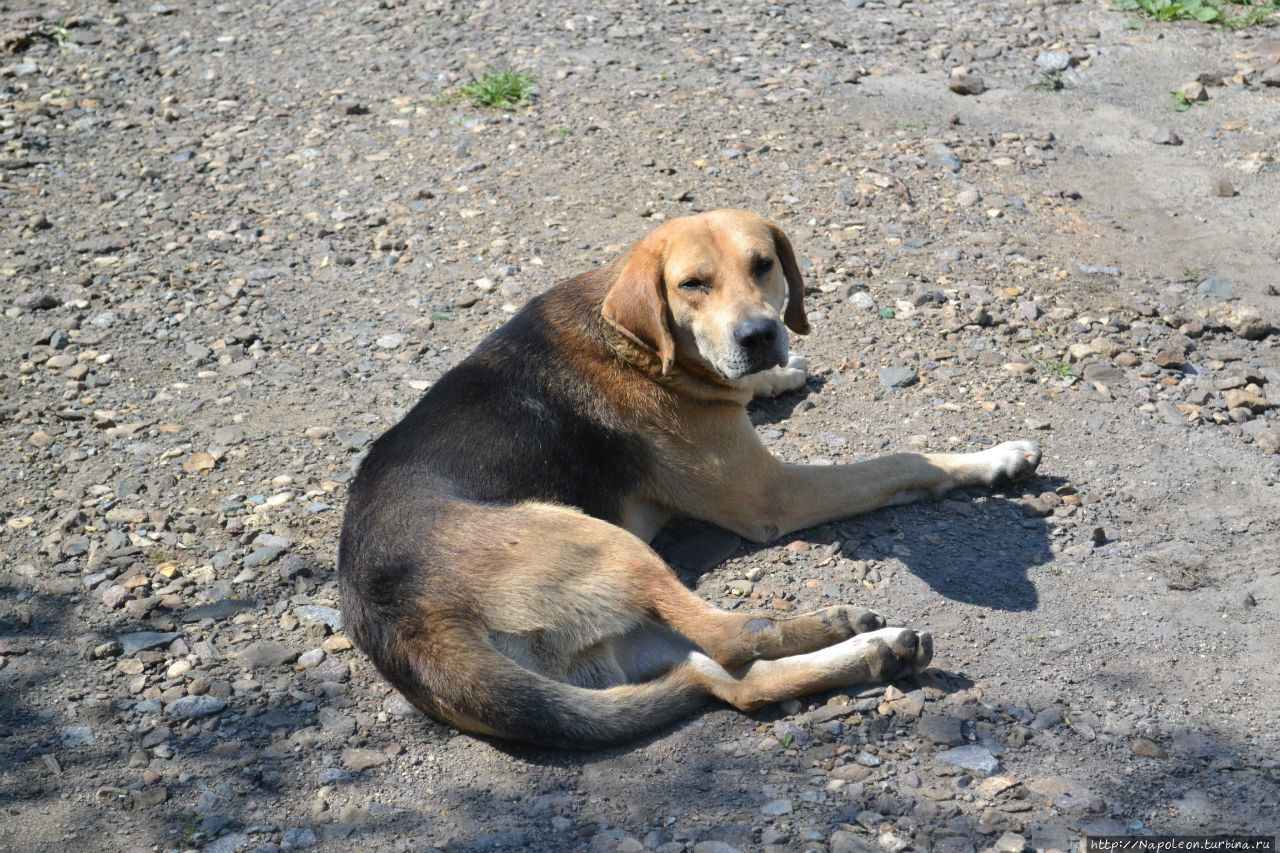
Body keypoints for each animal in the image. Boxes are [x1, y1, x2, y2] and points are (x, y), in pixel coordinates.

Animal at [340, 207, 1039, 742]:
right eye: (692, 284)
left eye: (763, 264)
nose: (759, 336)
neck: (640, 344)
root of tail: (404, 629)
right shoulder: (772, 494)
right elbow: (903, 461)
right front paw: (995, 457)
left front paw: (779, 374)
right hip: (601, 542)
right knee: (733, 638)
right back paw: (842, 626)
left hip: (620, 639)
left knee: (735, 685)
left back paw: (880, 656)